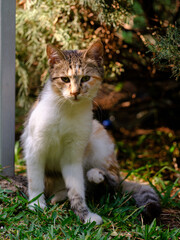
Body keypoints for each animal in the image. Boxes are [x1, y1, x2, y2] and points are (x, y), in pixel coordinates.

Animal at [21, 39, 160, 225]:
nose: (75, 92)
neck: (67, 110)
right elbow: (35, 180)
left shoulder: (73, 154)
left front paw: (84, 214)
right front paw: (36, 204)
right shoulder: (35, 148)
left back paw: (95, 175)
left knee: (113, 182)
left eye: (86, 78)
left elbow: (76, 188)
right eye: (65, 79)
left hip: (99, 138)